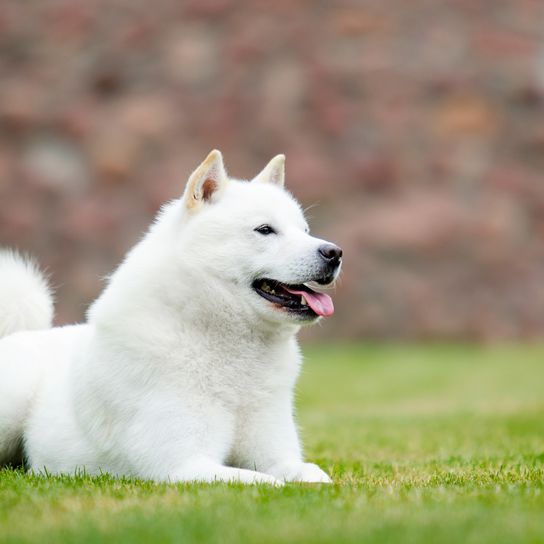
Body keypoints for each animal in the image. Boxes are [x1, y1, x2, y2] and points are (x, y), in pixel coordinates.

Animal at [0, 151, 340, 486]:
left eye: (305, 231)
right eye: (265, 229)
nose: (334, 253)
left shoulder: (277, 456)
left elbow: (310, 475)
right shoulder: (184, 466)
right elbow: (266, 482)